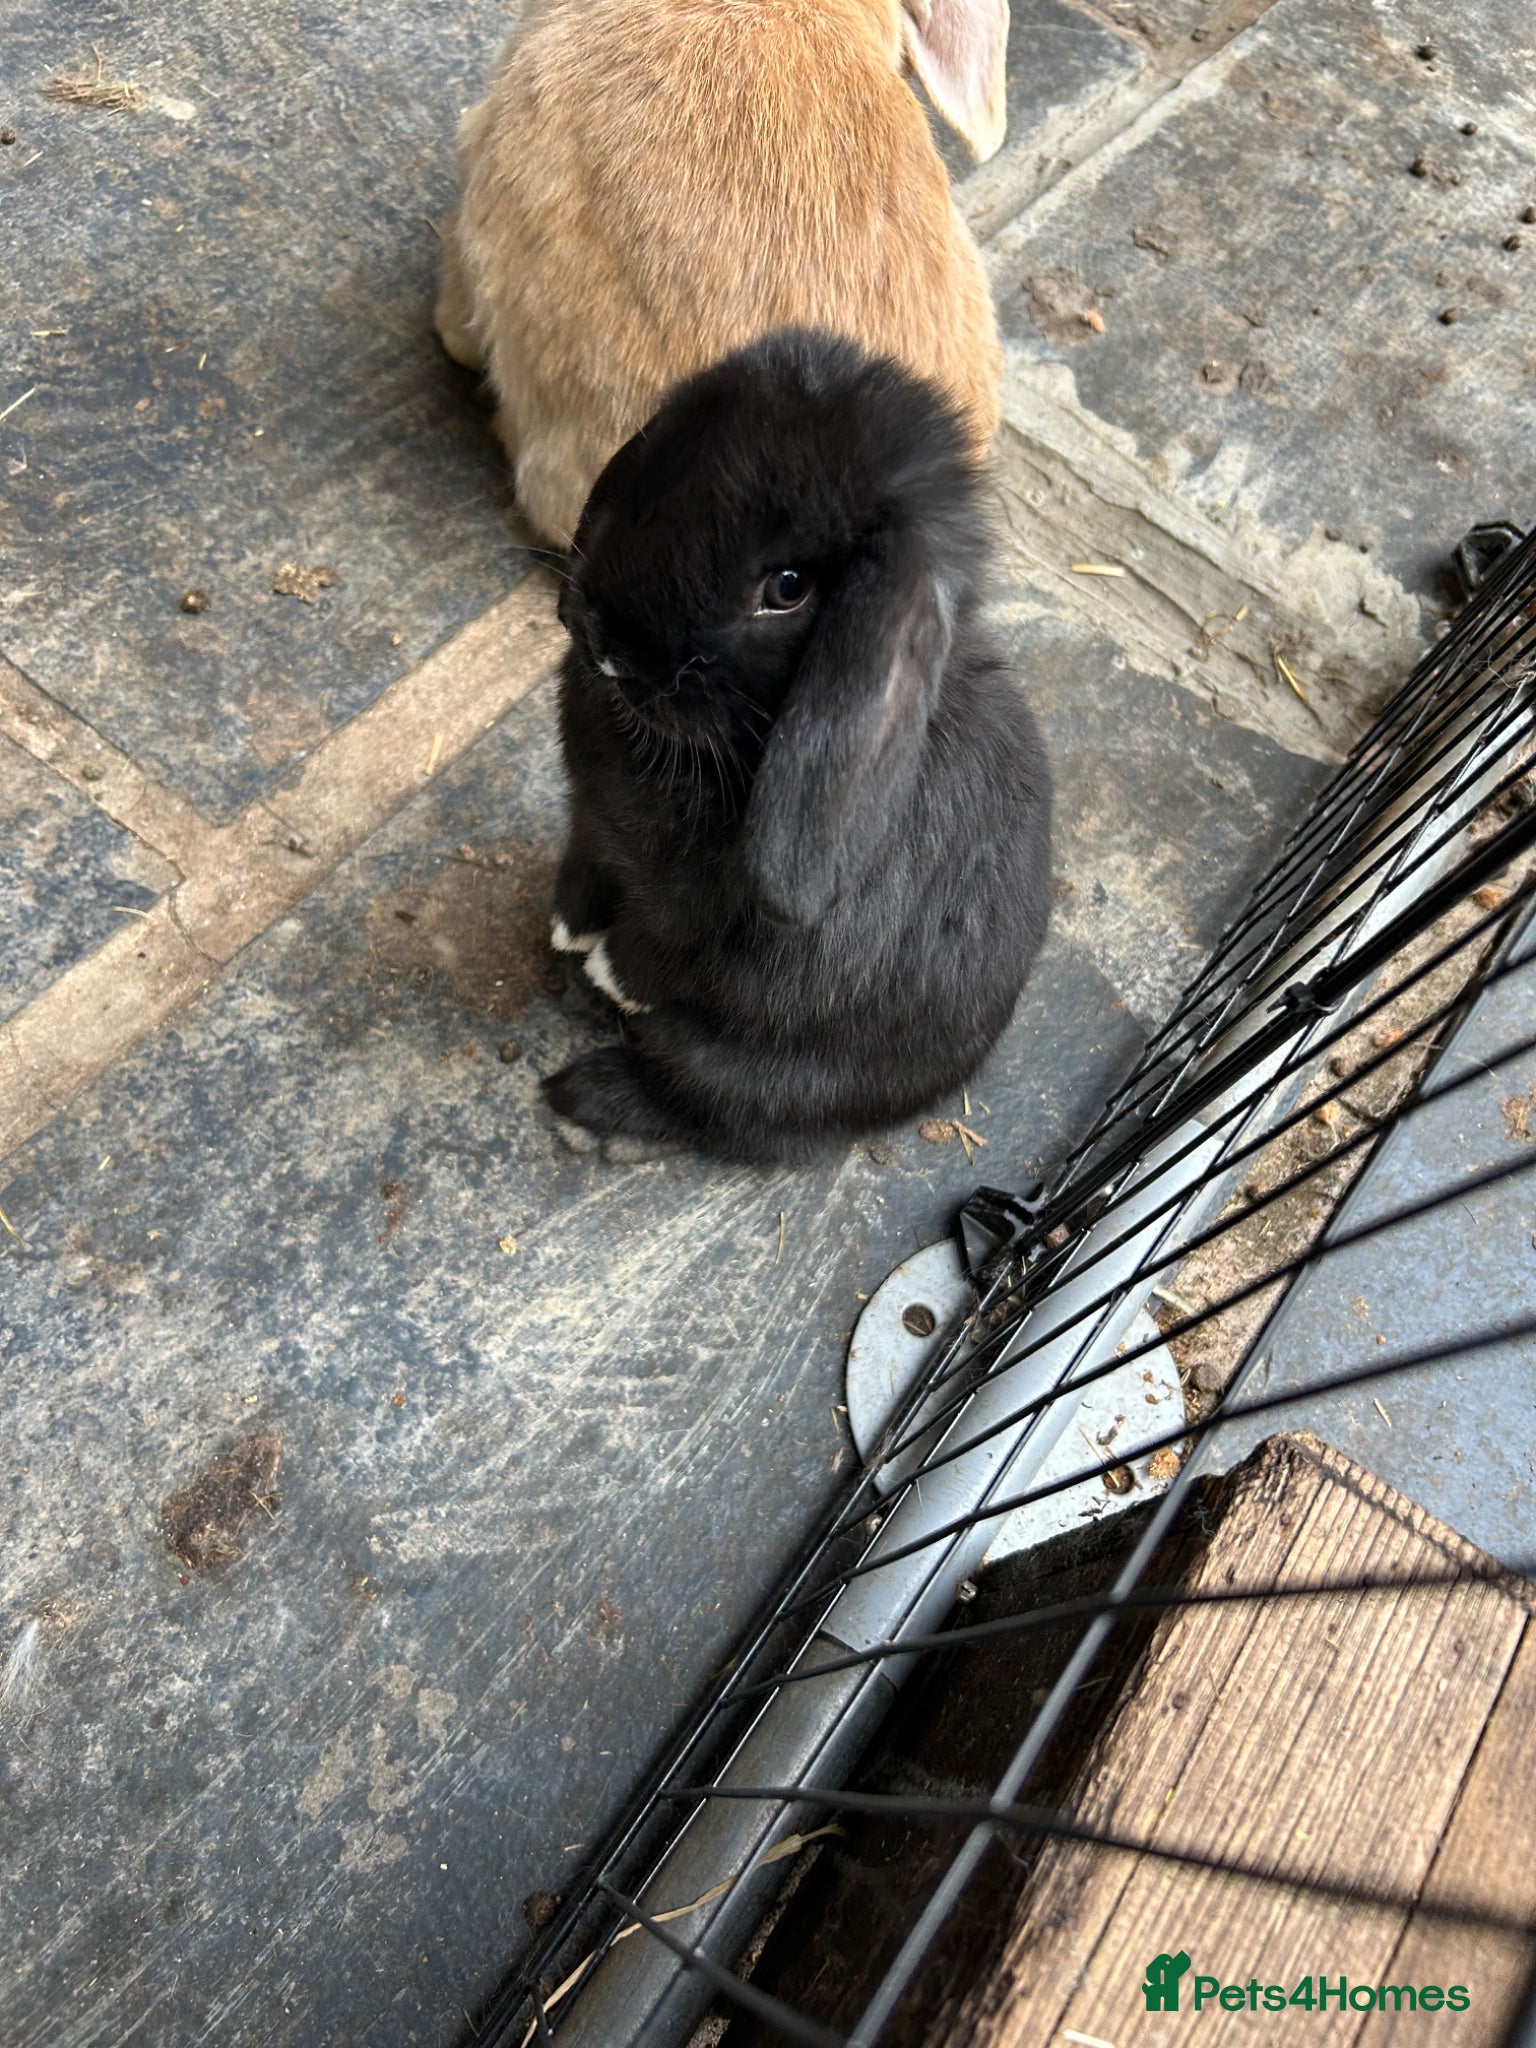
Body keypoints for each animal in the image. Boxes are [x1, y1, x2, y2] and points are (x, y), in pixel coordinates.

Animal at [539, 327, 1053, 1165]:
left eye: (787, 588)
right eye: (660, 472)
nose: (609, 648)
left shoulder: (702, 923)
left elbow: (661, 951)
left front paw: (608, 972)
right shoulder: (589, 829)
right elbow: (585, 868)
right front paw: (567, 927)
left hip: (734, 1067)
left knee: (713, 1111)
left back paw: (588, 1109)